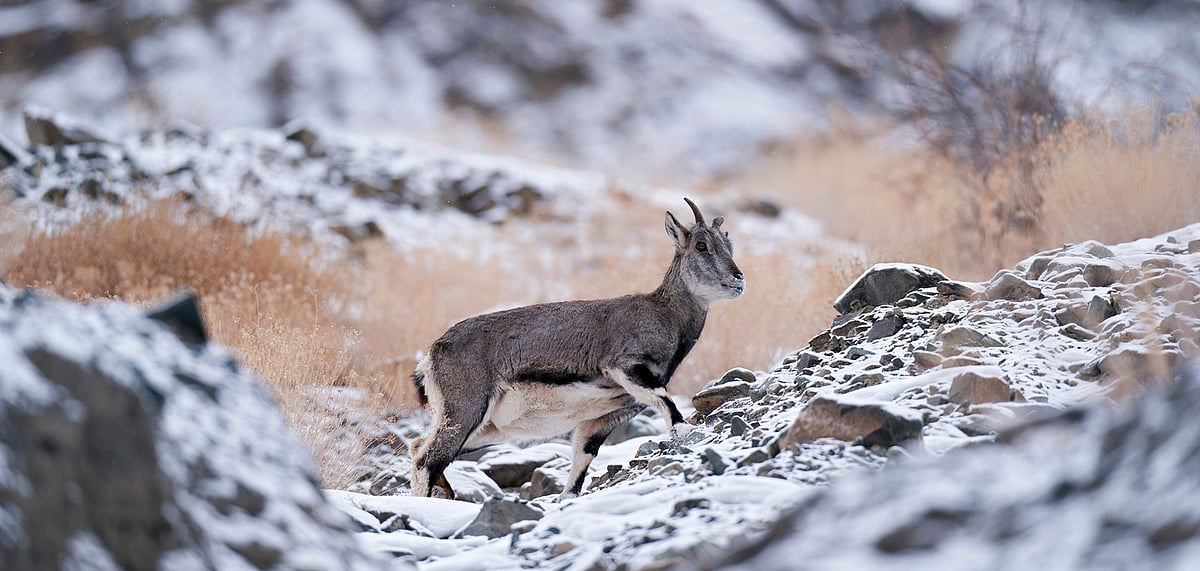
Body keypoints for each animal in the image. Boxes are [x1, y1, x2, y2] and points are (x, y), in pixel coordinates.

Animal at [408, 198, 744, 500]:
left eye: (729, 246)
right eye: (701, 245)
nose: (738, 279)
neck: (665, 315)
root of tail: (432, 355)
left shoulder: (605, 415)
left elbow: (582, 461)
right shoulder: (625, 366)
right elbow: (669, 406)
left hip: (488, 428)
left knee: (418, 448)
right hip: (466, 409)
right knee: (428, 460)